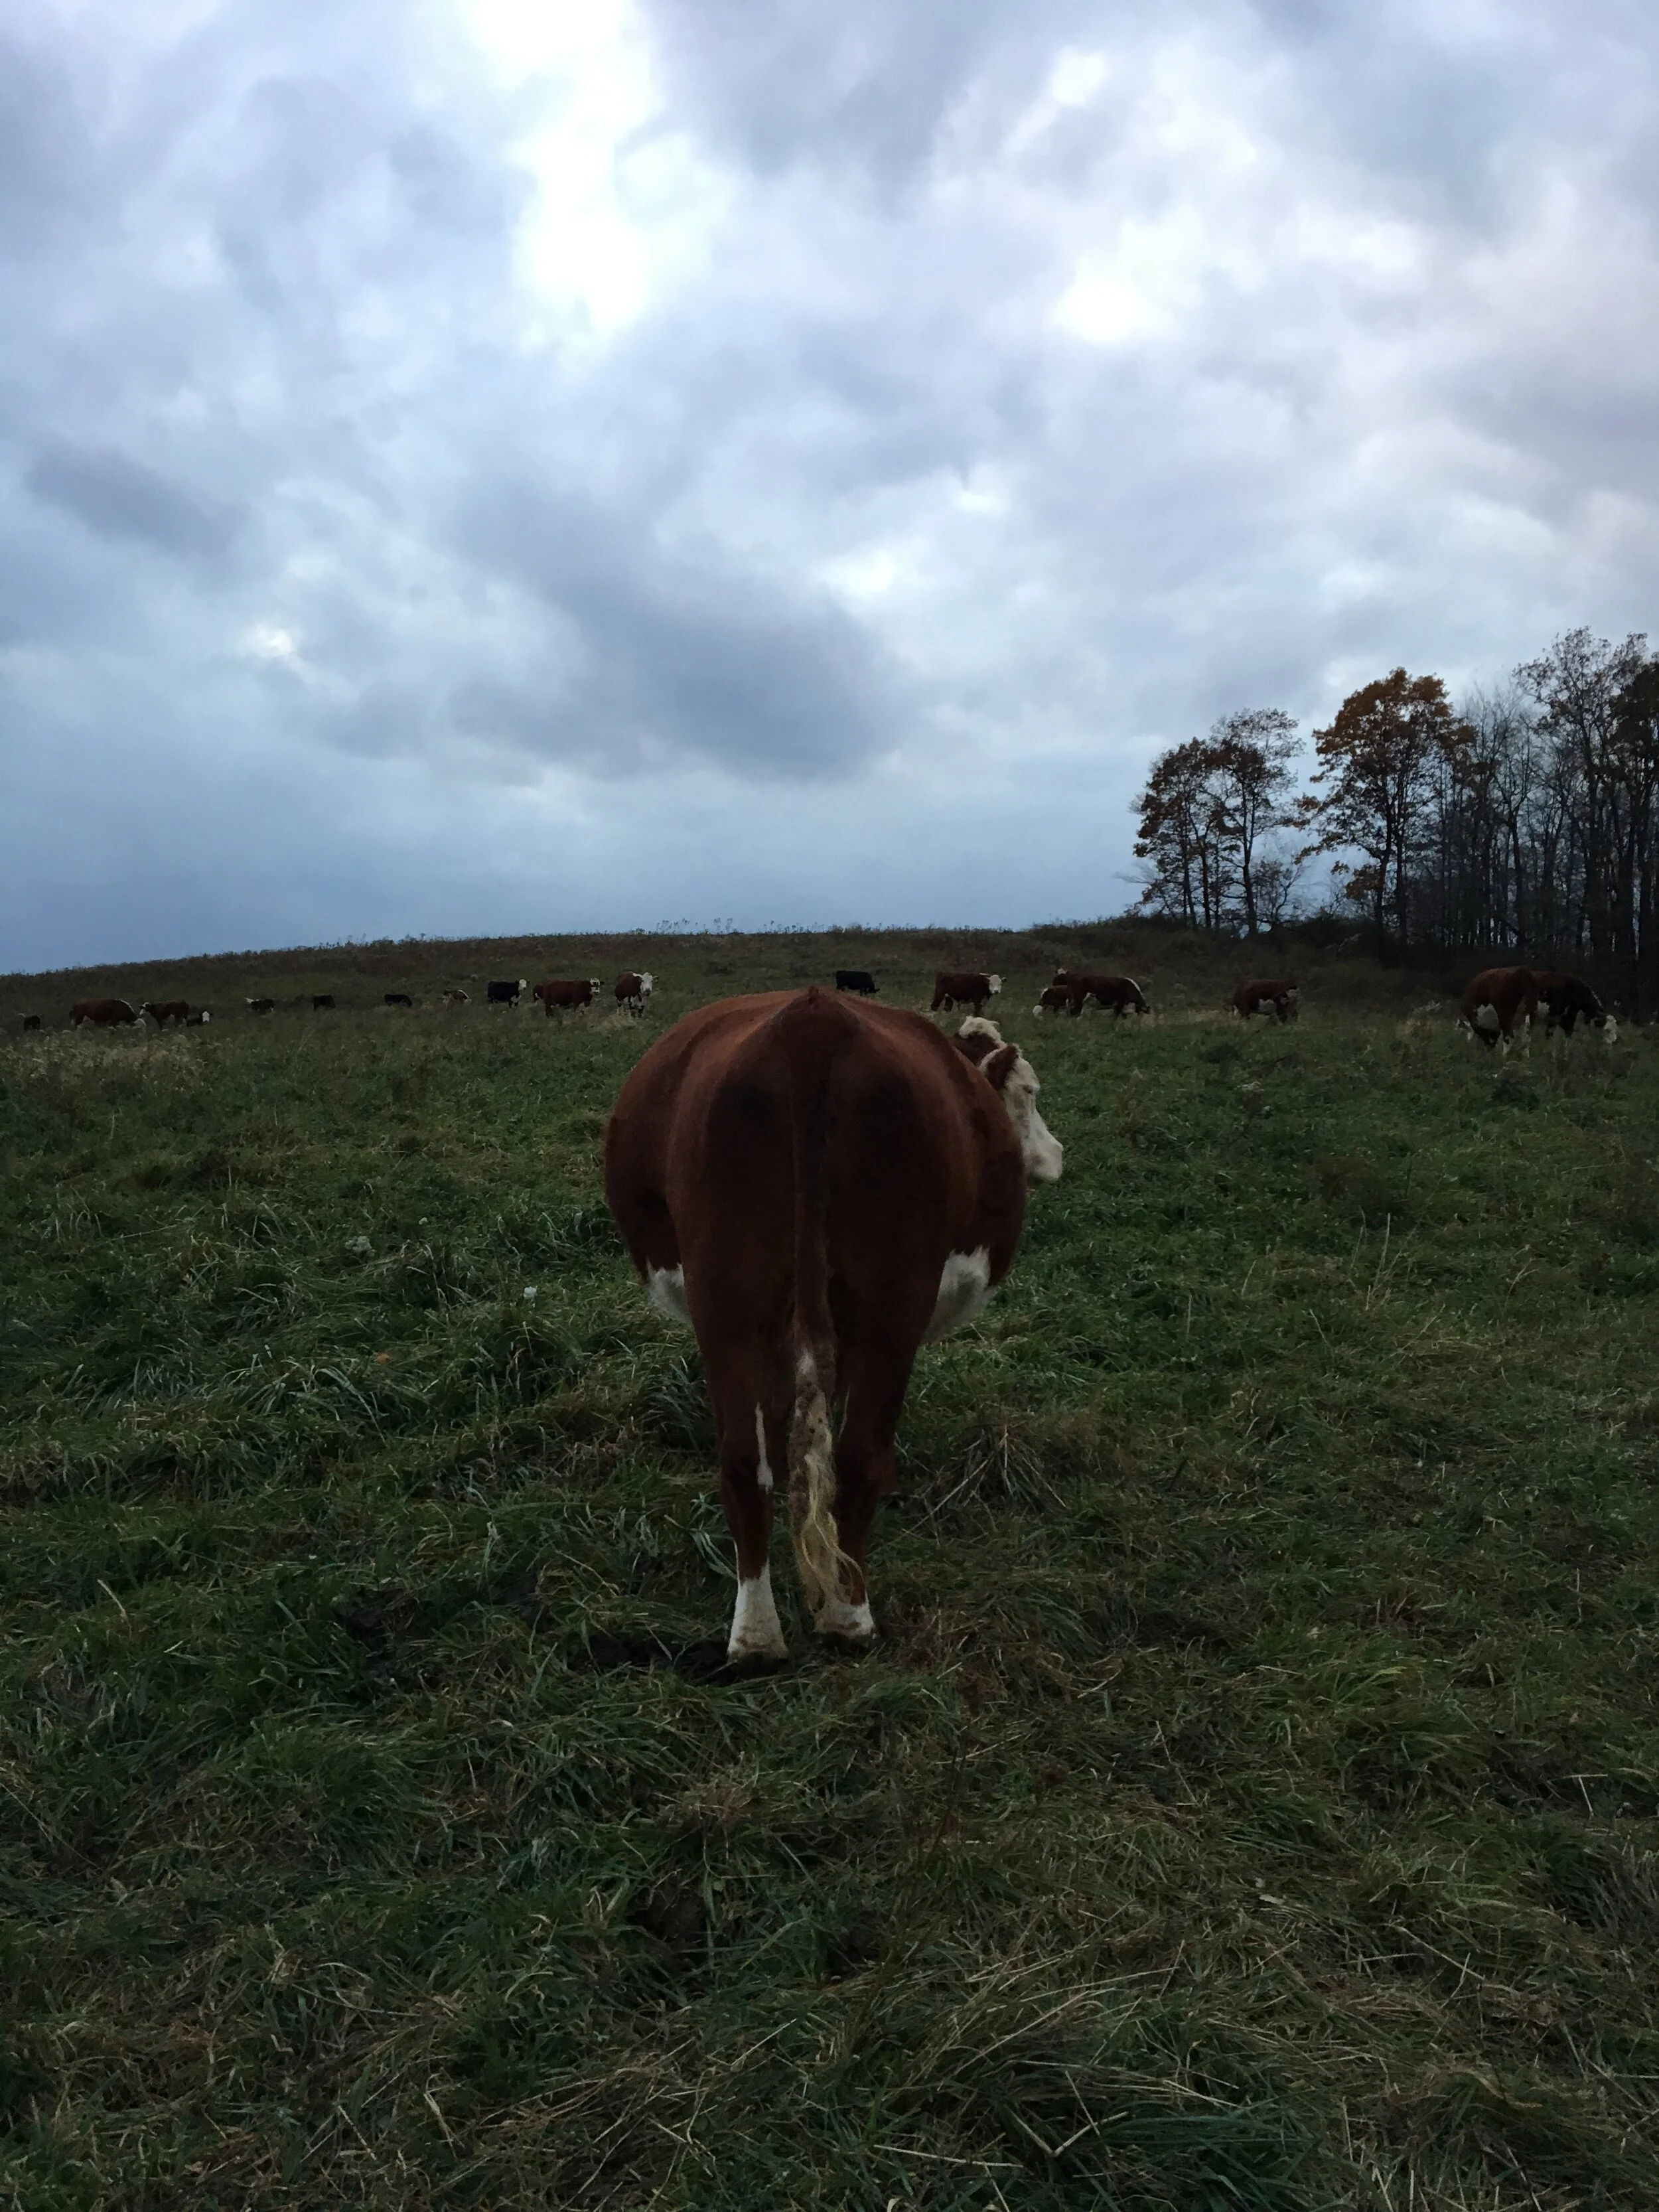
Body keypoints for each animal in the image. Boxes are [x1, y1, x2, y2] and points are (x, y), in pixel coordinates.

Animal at [604, 990, 1062, 1663]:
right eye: (1029, 1091)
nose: (1056, 1154)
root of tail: (811, 1024)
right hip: (890, 1307)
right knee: (858, 1456)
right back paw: (849, 1617)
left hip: (728, 1300)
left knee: (744, 1462)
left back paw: (756, 1635)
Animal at [1457, 966, 1538, 1054]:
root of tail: (1522, 971)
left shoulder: (1477, 1023)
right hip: (1531, 1012)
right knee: (1527, 1039)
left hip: (1505, 1015)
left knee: (1508, 1037)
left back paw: (1505, 1055)